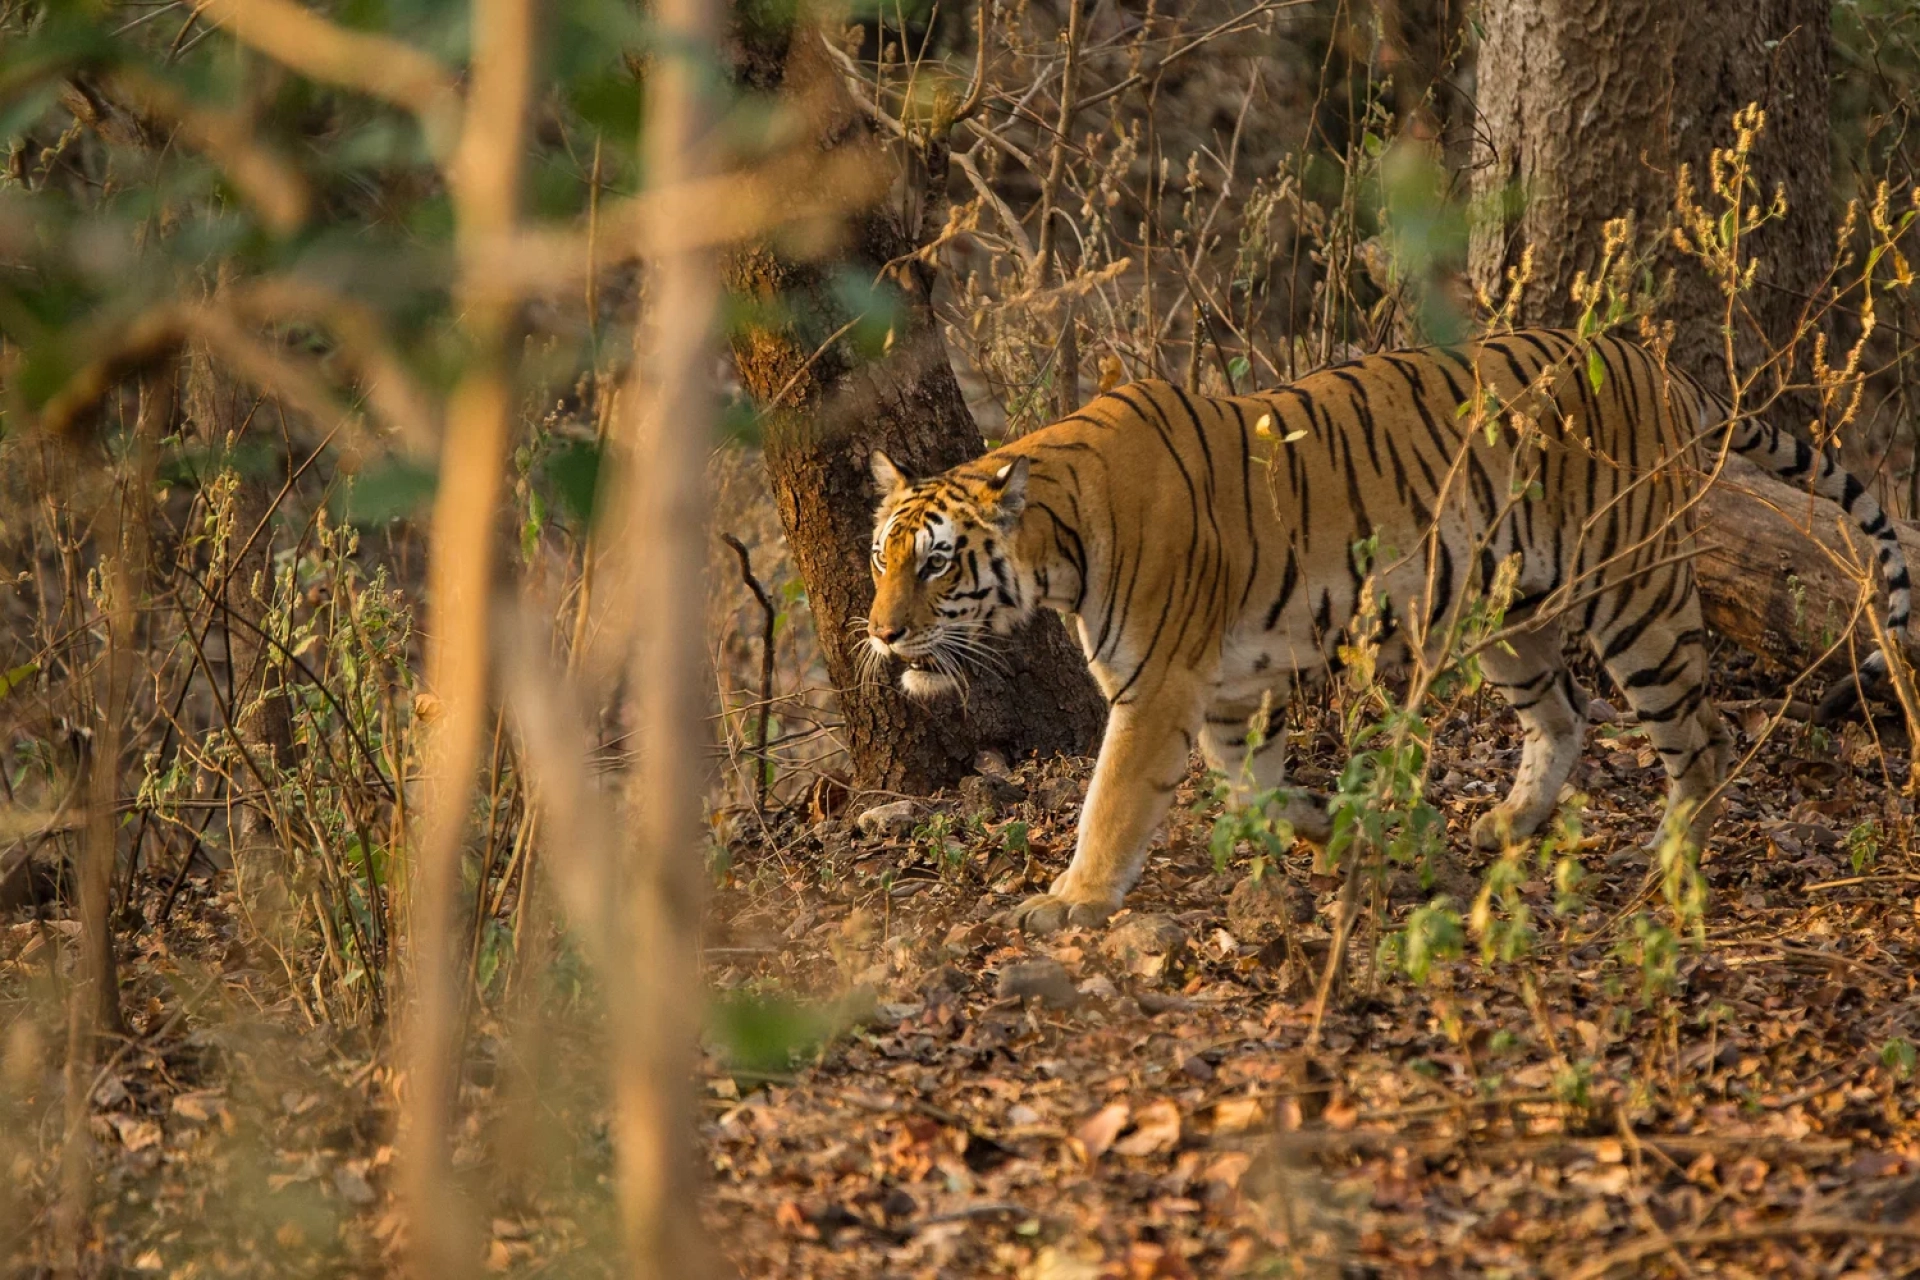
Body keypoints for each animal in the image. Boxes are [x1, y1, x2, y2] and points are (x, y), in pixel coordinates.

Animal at [864, 327, 1912, 934]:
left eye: (937, 564)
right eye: (881, 557)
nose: (878, 635)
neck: (1060, 541)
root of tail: (1665, 371)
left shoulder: (1158, 687)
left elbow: (1113, 802)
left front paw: (1072, 901)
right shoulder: (1230, 691)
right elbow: (1258, 788)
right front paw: (1340, 833)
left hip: (1636, 594)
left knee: (1702, 734)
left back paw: (1671, 866)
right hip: (1510, 613)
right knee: (1565, 714)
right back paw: (1507, 823)